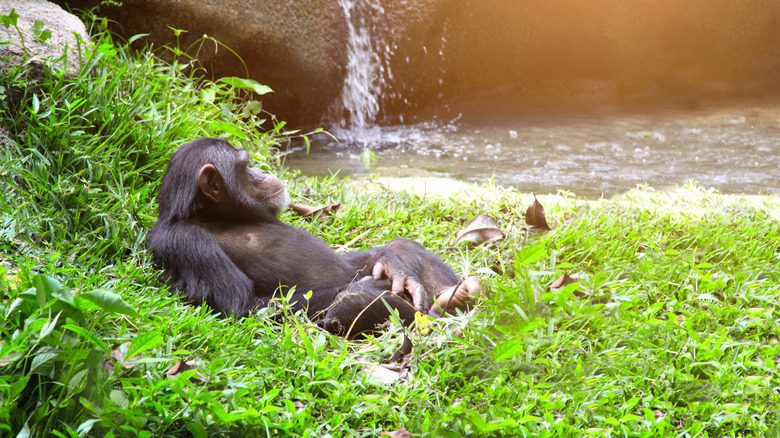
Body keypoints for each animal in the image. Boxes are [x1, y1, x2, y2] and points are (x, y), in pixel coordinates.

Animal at [143, 139, 478, 338]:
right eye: (246, 167)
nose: (262, 171)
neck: (220, 217)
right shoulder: (185, 242)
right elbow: (242, 305)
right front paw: (374, 286)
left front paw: (391, 266)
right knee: (353, 303)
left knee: (404, 246)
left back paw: (456, 294)